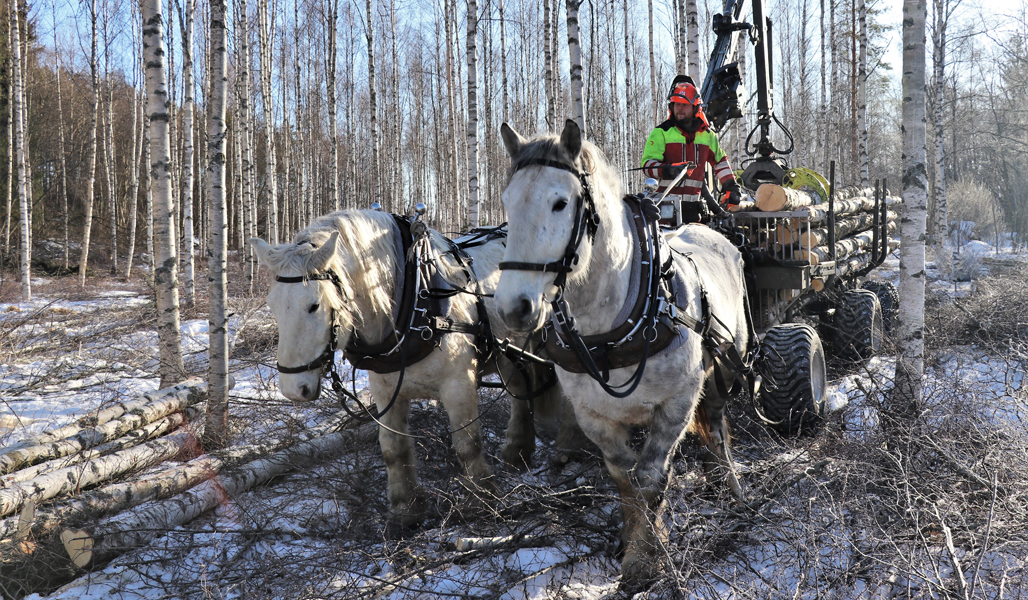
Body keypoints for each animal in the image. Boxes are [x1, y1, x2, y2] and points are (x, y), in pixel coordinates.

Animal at [252, 209, 583, 534]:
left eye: (314, 305)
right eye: (273, 305)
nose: (293, 389)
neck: (415, 303)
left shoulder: (458, 385)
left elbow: (467, 444)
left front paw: (482, 499)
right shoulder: (386, 391)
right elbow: (393, 450)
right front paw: (404, 512)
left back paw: (567, 446)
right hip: (509, 352)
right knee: (520, 391)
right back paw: (517, 451)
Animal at [493, 121, 752, 587]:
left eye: (560, 203)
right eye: (507, 201)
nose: (512, 307)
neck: (610, 329)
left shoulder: (675, 405)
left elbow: (650, 478)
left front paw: (646, 559)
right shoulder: (593, 415)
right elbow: (623, 477)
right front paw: (630, 540)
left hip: (724, 370)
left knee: (719, 429)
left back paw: (732, 486)